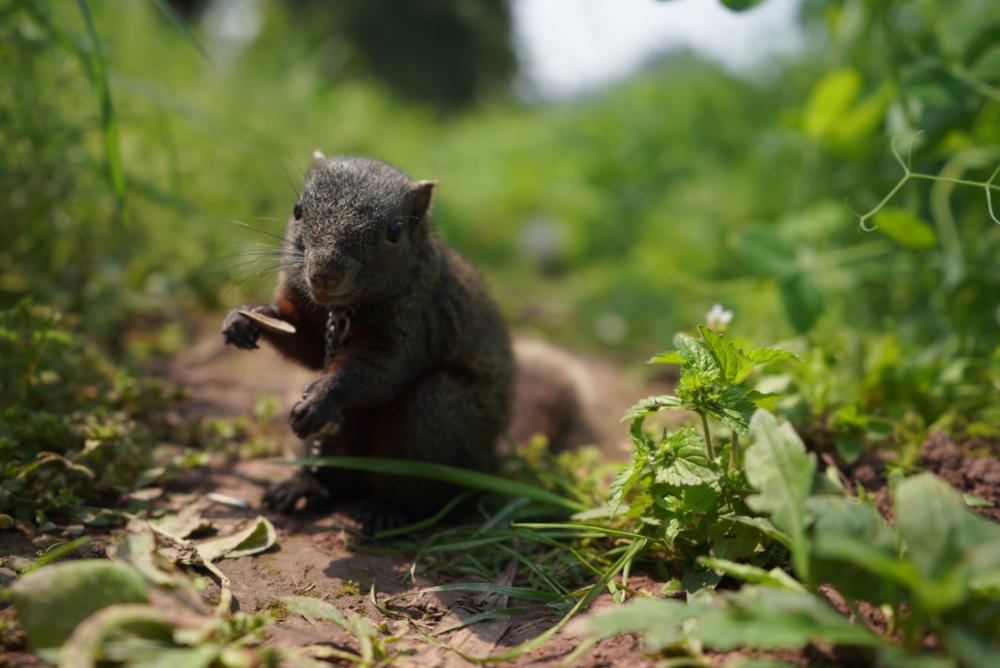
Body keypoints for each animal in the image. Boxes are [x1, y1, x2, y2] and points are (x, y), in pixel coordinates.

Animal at [223, 153, 580, 532]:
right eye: (297, 209)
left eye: (394, 231)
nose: (324, 275)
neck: (343, 311)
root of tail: (488, 462)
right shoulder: (307, 310)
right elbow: (301, 341)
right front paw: (246, 317)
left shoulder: (413, 325)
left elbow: (384, 372)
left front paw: (321, 398)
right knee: (333, 474)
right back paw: (302, 484)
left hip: (434, 416)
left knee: (418, 487)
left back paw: (387, 510)